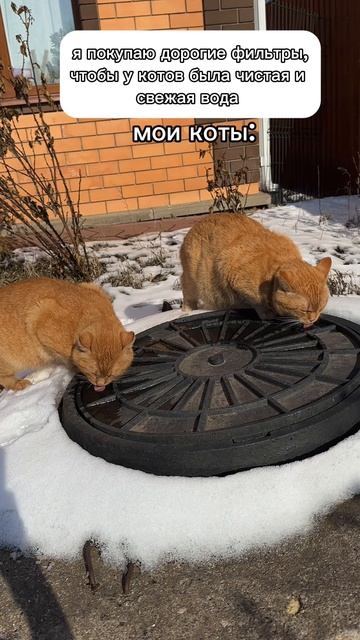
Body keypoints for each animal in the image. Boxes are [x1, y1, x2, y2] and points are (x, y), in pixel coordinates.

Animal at [0, 278, 134, 392]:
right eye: (93, 372)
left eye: (111, 374)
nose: (101, 384)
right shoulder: (39, 316)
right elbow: (67, 359)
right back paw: (19, 384)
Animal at [180, 215, 332, 328]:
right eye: (305, 310)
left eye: (321, 308)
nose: (313, 319)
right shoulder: (233, 275)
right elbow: (257, 302)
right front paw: (267, 313)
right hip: (192, 282)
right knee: (188, 295)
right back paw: (187, 311)